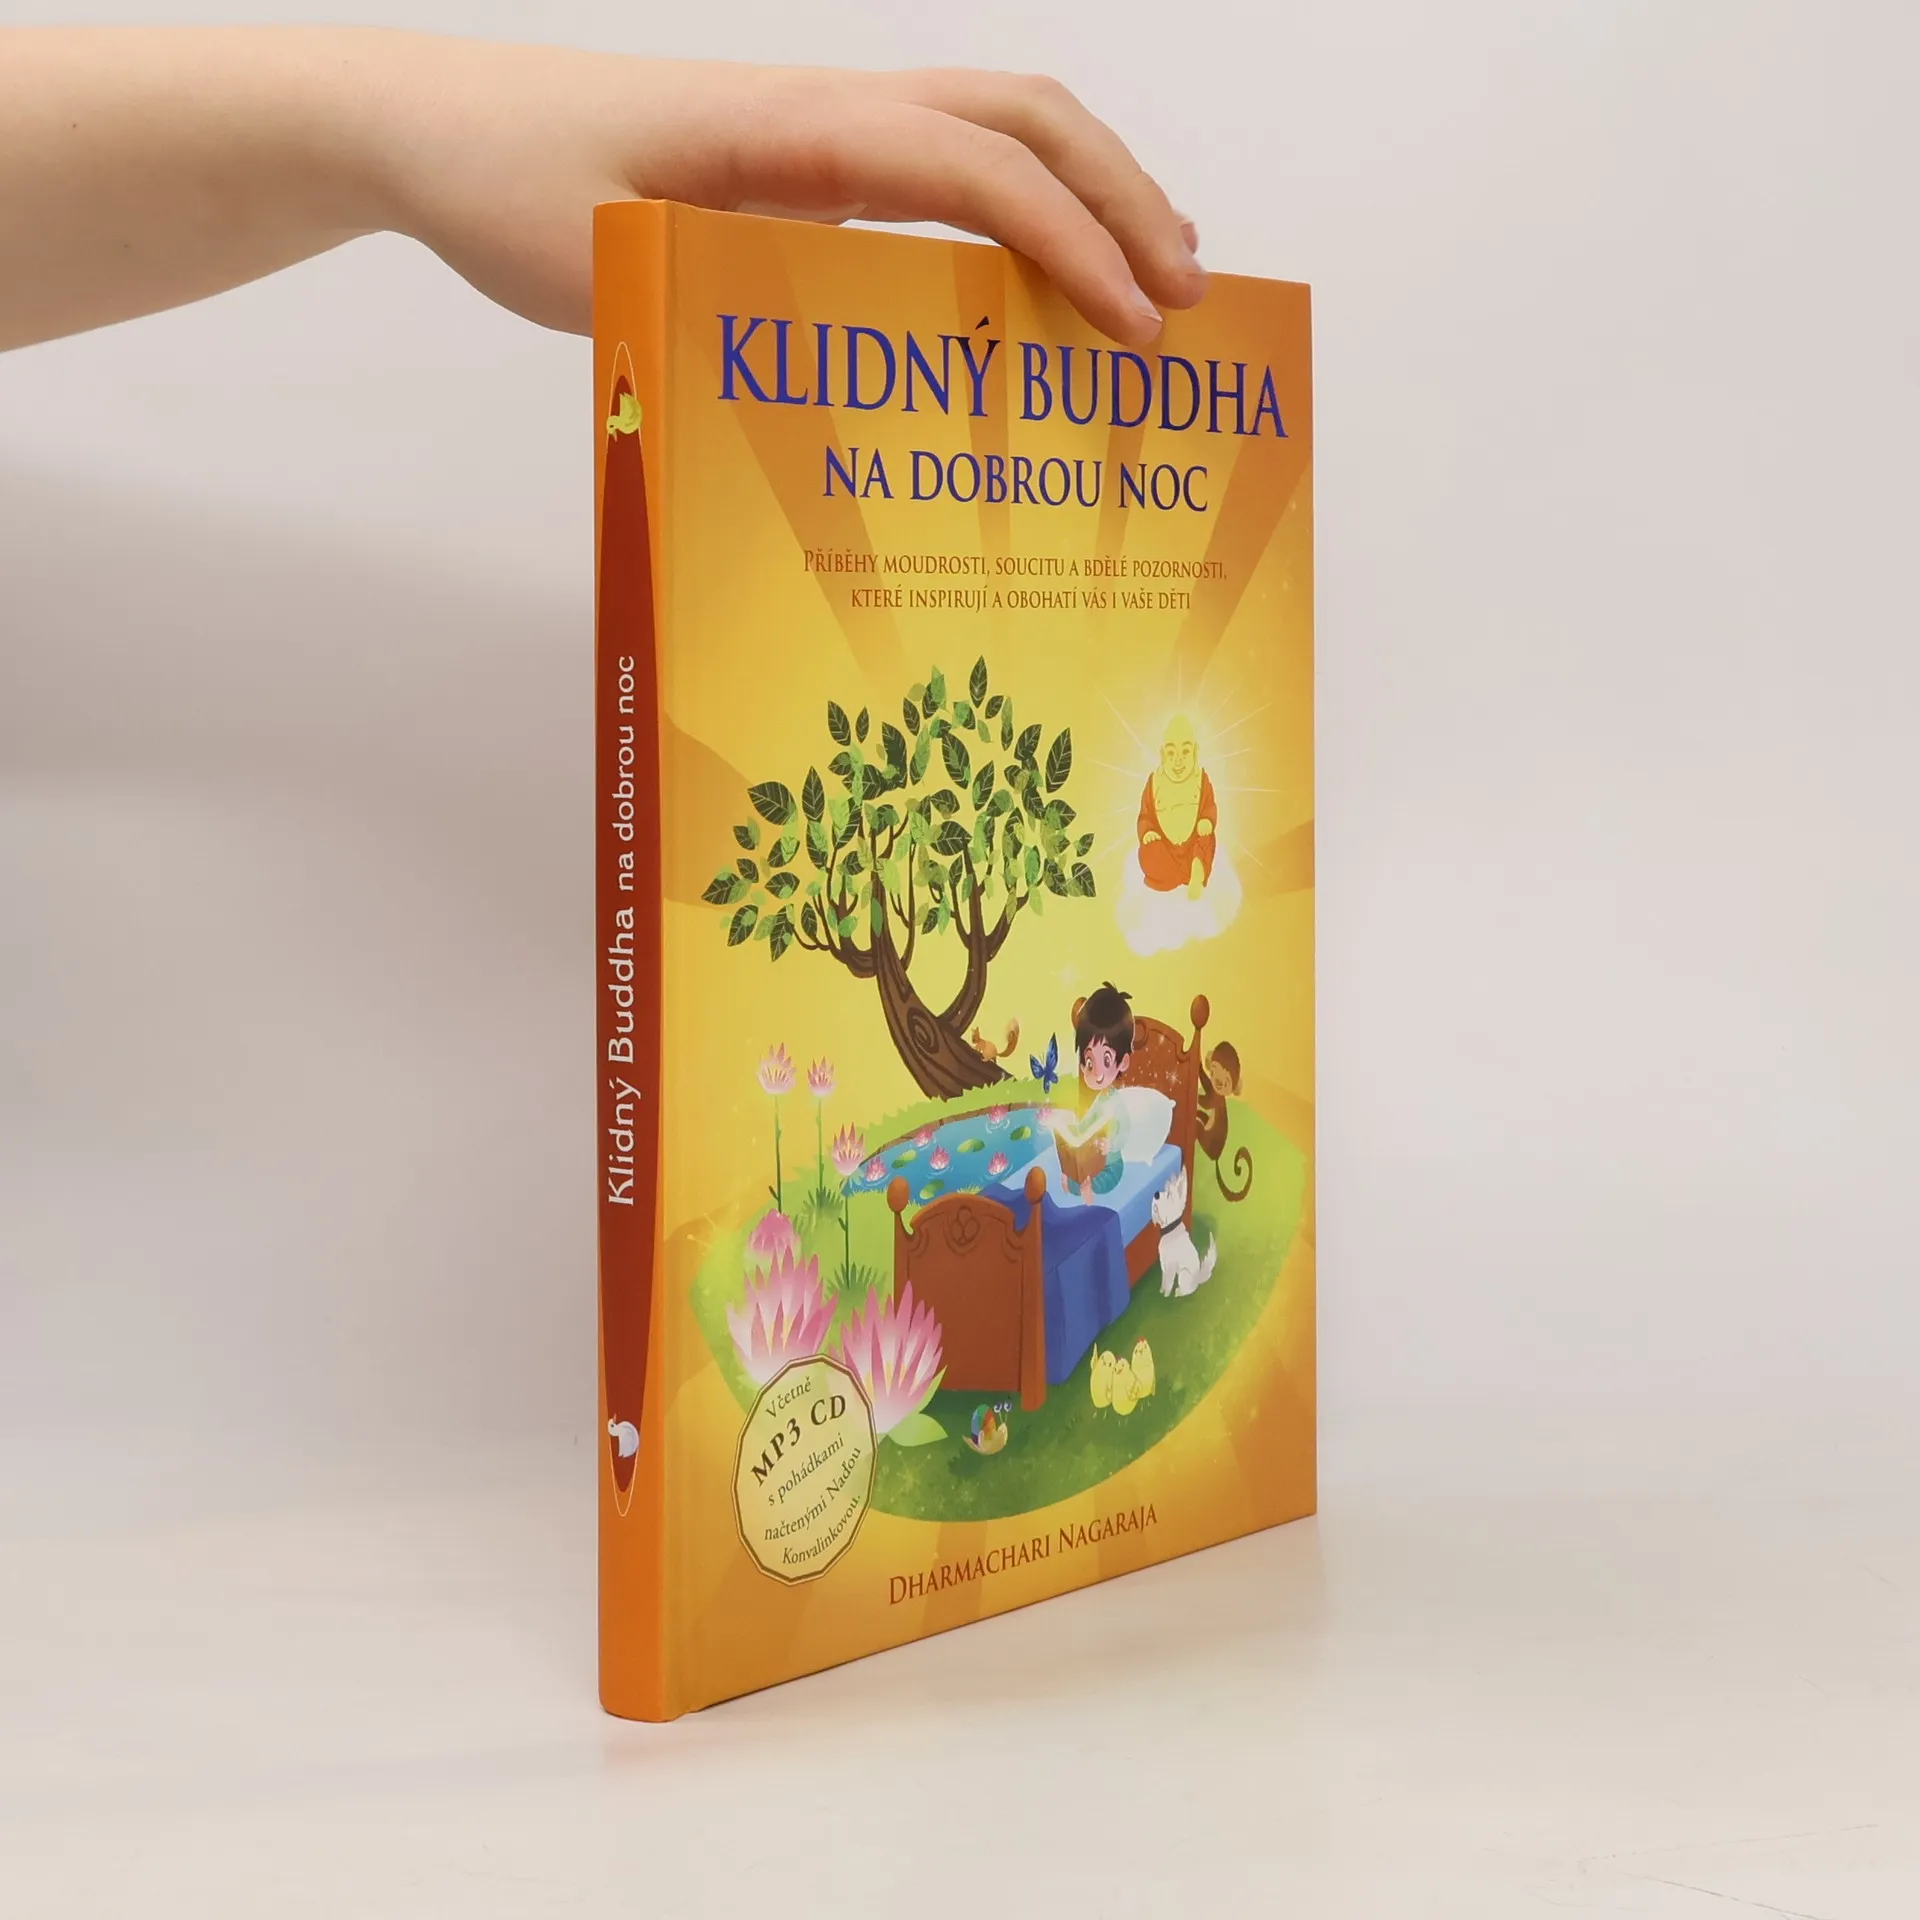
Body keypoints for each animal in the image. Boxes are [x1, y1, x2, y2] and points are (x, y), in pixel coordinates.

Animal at [1151, 1165, 1218, 1298]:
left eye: (1168, 1194)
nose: (1156, 1194)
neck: (1170, 1229)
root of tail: (1198, 1280)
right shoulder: (1164, 1264)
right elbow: (1164, 1280)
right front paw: (1161, 1290)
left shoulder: (1171, 1266)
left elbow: (1168, 1282)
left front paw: (1166, 1294)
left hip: (1183, 1274)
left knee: (1187, 1290)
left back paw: (1177, 1292)